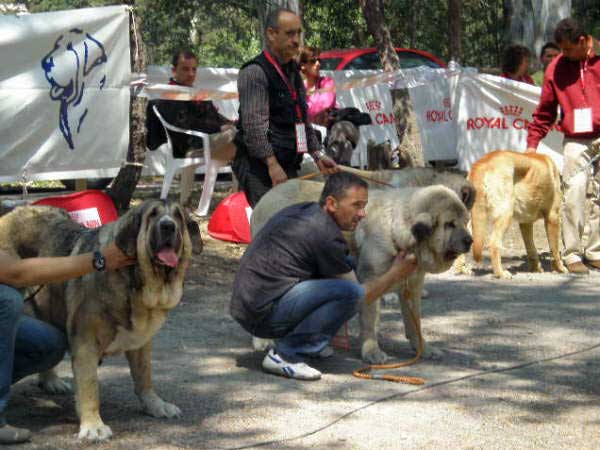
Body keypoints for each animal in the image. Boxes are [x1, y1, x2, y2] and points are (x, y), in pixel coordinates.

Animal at [0, 200, 191, 440]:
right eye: (153, 216)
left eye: (178, 217)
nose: (168, 226)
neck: (135, 281)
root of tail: (14, 210)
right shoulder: (86, 343)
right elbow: (90, 386)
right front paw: (93, 426)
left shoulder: (141, 342)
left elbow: (144, 375)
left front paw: (155, 405)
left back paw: (51, 381)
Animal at [250, 178, 474, 364]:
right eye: (449, 224)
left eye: (465, 222)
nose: (469, 241)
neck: (400, 231)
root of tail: (267, 195)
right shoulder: (371, 279)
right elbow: (370, 320)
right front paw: (371, 351)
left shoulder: (412, 286)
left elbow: (415, 323)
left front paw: (423, 349)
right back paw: (264, 341)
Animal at [468, 150, 568, 278]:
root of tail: (482, 163)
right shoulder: (552, 217)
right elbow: (554, 249)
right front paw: (559, 268)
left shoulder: (526, 223)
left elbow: (531, 248)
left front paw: (535, 268)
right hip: (505, 215)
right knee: (494, 244)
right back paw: (500, 273)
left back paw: (462, 269)